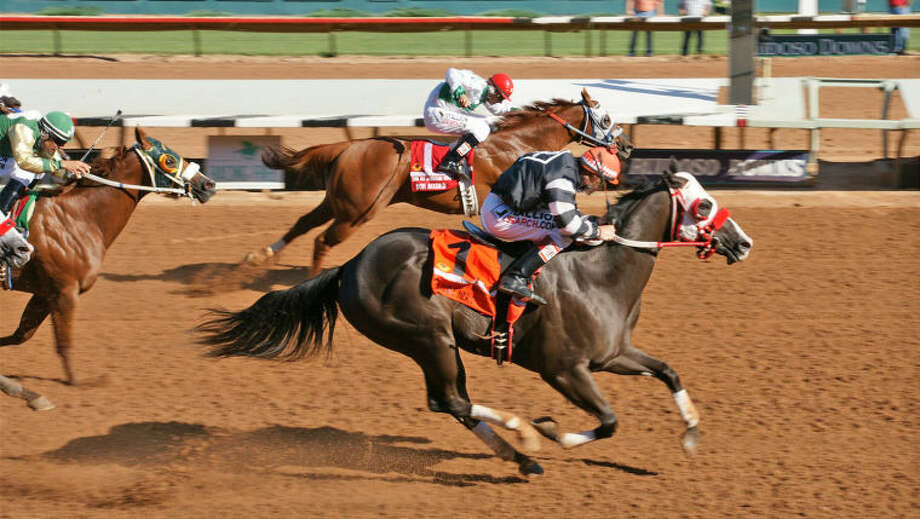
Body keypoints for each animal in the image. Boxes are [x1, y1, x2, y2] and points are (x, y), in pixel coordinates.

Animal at [0, 127, 217, 384]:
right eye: (170, 160)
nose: (208, 184)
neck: (79, 217)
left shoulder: (45, 293)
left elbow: (21, 335)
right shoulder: (65, 293)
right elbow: (64, 345)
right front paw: (80, 383)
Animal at [244, 88, 632, 276]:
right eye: (605, 118)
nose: (626, 146)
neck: (517, 143)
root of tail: (349, 146)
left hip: (338, 202)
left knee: (302, 223)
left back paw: (257, 256)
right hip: (357, 212)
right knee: (322, 240)